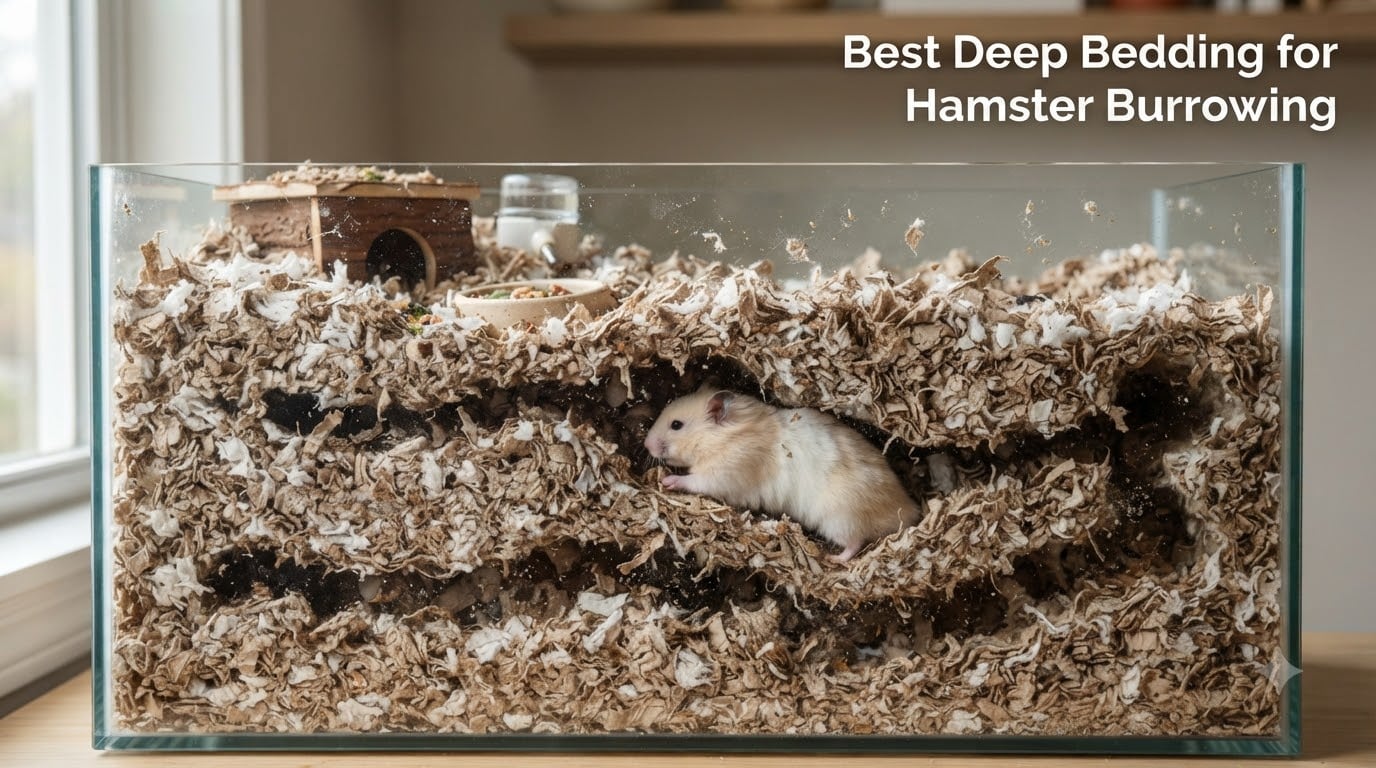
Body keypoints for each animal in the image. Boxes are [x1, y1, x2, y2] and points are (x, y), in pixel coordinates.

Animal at [644, 389, 921, 564]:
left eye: (676, 425)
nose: (646, 445)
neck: (725, 438)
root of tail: (907, 509)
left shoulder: (726, 472)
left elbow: (694, 480)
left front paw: (667, 481)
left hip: (840, 518)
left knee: (855, 543)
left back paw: (833, 558)